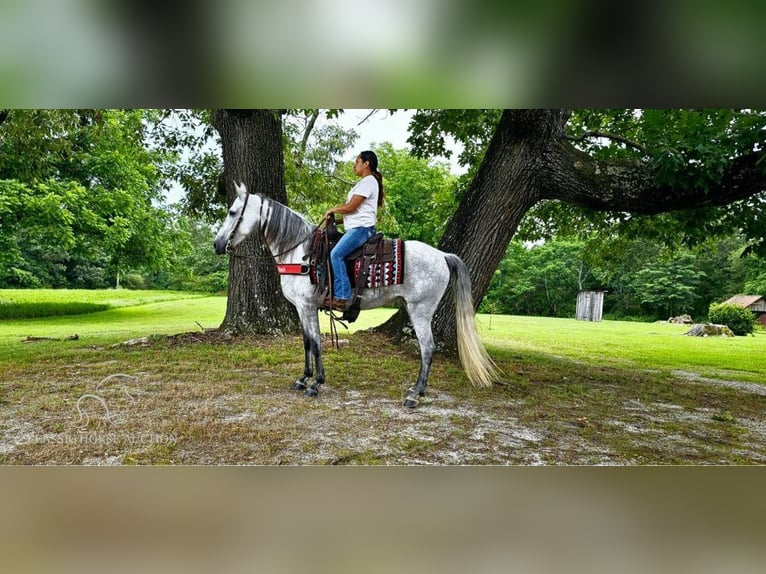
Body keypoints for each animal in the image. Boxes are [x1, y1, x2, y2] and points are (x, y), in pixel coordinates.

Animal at [214, 182, 498, 408]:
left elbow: (316, 343)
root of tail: (442, 255)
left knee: (427, 348)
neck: (300, 252)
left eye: (232, 212)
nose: (217, 245)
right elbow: (306, 342)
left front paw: (316, 384)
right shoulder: (301, 308)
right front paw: (303, 378)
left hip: (421, 310)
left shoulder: (307, 306)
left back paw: (415, 394)